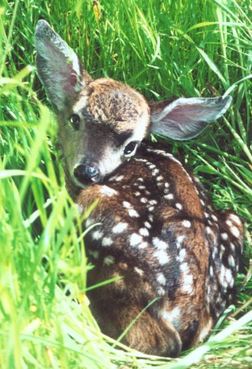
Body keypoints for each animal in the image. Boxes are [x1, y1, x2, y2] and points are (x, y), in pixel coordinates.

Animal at [34, 20, 243, 356]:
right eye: (75, 119)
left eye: (131, 146)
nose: (88, 171)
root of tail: (188, 310)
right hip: (236, 221)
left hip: (102, 225)